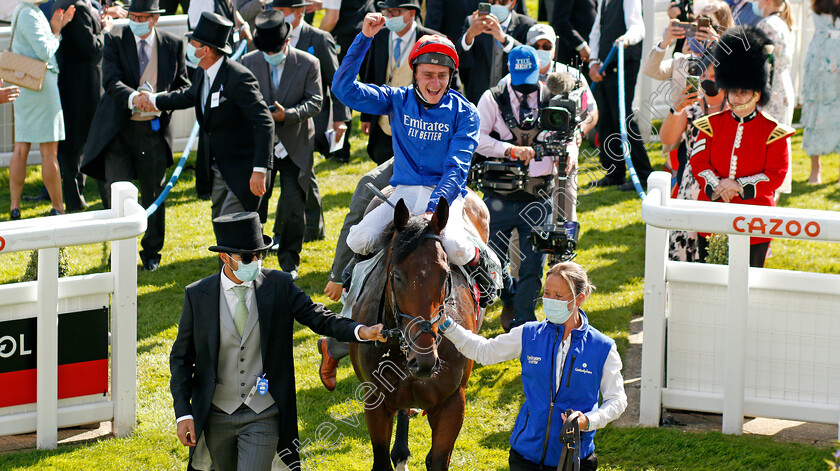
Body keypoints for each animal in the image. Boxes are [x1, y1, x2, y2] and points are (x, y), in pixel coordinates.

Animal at [348, 189, 488, 471]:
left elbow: (438, 460)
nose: (422, 361)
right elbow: (381, 461)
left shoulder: (452, 404)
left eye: (445, 275)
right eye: (397, 276)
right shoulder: (375, 402)